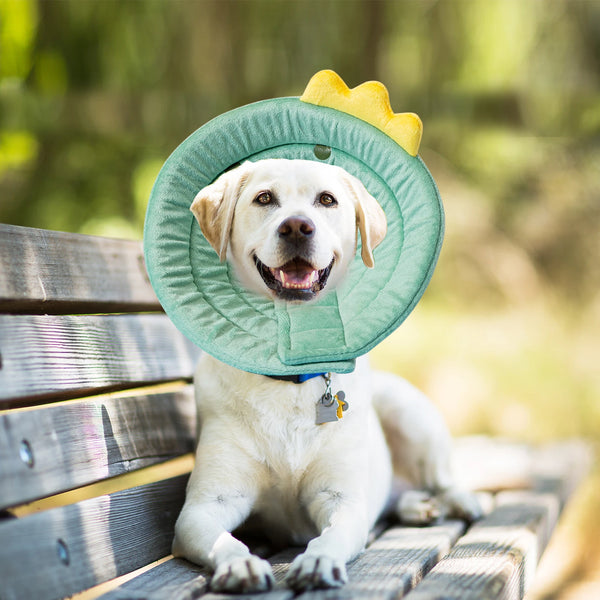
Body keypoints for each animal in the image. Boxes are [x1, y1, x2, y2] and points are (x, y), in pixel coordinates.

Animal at [171, 158, 480, 592]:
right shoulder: (204, 507)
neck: (287, 381)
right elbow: (224, 539)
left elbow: (331, 535)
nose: (297, 227)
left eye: (326, 200)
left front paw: (318, 561)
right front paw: (240, 563)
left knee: (440, 477)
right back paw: (416, 505)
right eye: (264, 198)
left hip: (408, 411)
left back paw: (460, 501)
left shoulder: (341, 500)